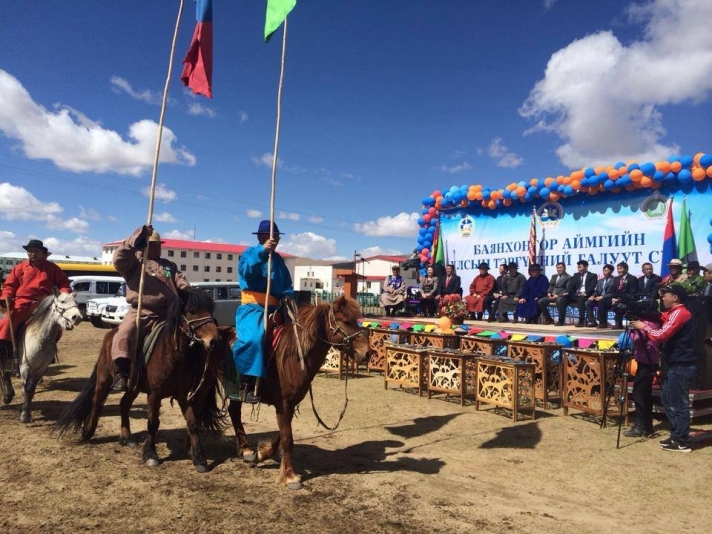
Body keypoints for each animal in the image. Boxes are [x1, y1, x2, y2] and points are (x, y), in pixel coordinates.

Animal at [0, 292, 81, 426]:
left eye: (76, 302)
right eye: (62, 301)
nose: (77, 317)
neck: (39, 336)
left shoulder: (40, 369)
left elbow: (31, 389)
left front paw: (26, 413)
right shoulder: (25, 367)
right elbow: (26, 389)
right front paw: (24, 415)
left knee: (5, 374)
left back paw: (8, 396)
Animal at [55, 288, 222, 474]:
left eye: (210, 310)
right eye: (192, 311)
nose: (214, 340)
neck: (173, 354)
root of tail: (110, 334)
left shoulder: (182, 395)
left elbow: (192, 423)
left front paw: (199, 458)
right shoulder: (154, 395)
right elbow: (153, 423)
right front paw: (150, 454)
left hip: (133, 386)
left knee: (124, 404)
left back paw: (126, 437)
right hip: (104, 379)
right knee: (96, 401)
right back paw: (88, 432)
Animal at [224, 296, 370, 492]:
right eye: (346, 321)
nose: (367, 353)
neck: (294, 356)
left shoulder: (289, 405)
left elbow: (283, 436)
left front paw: (262, 455)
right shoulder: (284, 405)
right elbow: (287, 439)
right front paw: (291, 476)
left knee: (234, 412)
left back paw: (246, 450)